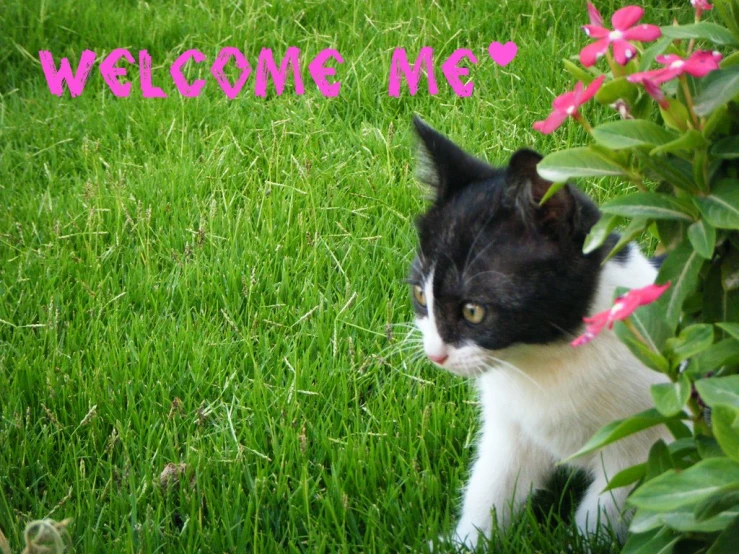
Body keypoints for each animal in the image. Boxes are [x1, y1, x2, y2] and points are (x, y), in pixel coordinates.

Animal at [408, 116, 672, 548]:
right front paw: (466, 543)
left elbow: (602, 512)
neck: (545, 359)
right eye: (419, 294)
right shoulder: (509, 430)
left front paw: (579, 544)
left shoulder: (646, 444)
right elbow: (491, 487)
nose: (435, 354)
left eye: (473, 311)